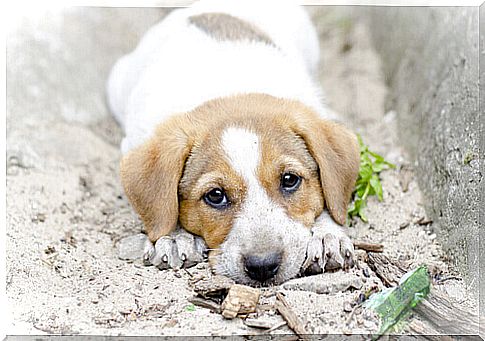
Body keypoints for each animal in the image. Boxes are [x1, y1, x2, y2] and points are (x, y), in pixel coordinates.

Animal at [108, 1, 358, 286]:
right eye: (215, 195)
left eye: (289, 180)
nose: (263, 266)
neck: (229, 89)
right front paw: (175, 236)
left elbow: (329, 199)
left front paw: (327, 235)